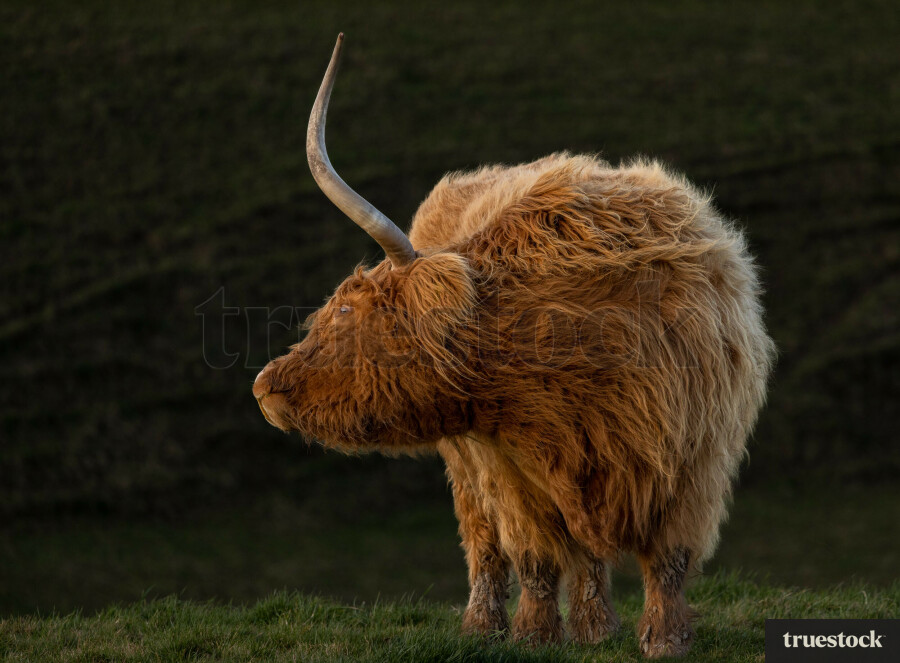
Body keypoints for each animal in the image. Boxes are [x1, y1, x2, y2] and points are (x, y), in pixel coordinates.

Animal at [252, 34, 775, 658]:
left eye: (346, 310)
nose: (263, 385)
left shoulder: (692, 460)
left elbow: (668, 557)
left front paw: (665, 640)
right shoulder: (508, 464)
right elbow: (533, 553)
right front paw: (533, 634)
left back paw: (596, 630)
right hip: (466, 464)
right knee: (487, 541)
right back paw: (492, 624)